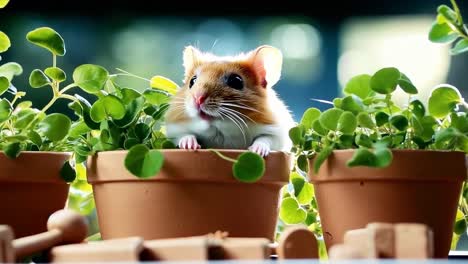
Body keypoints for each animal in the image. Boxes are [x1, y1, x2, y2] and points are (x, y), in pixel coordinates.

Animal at [165, 44, 294, 157]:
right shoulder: (174, 130)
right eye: (192, 81)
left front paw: (256, 151)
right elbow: (184, 135)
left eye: (236, 81)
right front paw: (189, 146)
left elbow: (265, 139)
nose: (198, 99)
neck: (221, 129)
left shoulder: (279, 134)